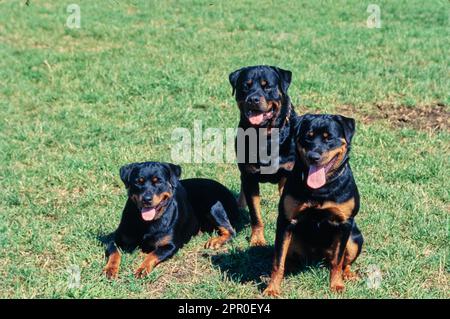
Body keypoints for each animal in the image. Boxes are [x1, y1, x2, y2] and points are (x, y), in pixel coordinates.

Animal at [103, 161, 239, 278]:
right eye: (138, 182)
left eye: (158, 181)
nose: (146, 199)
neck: (147, 222)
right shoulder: (116, 239)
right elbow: (114, 252)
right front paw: (110, 269)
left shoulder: (170, 245)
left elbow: (153, 254)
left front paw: (143, 268)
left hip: (215, 206)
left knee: (231, 231)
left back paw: (216, 241)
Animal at [229, 63, 298, 246]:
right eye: (246, 86)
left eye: (267, 86)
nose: (253, 99)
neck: (265, 135)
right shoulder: (249, 175)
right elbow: (255, 213)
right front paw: (257, 239)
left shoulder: (287, 173)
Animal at [264, 115, 366, 298]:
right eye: (308, 137)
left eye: (329, 138)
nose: (313, 156)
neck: (321, 188)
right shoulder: (286, 221)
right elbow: (278, 261)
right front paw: (272, 288)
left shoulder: (345, 223)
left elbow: (338, 261)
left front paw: (336, 285)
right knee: (286, 257)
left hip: (355, 239)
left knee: (343, 260)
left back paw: (348, 274)